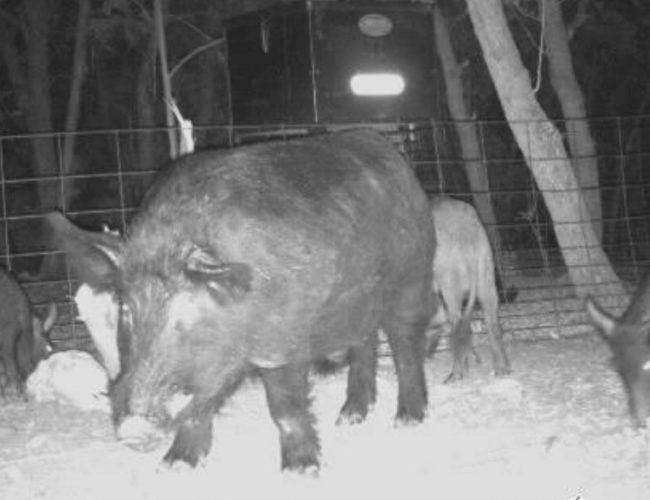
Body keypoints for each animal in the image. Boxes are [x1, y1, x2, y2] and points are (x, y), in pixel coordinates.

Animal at [47, 129, 436, 472]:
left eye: (189, 315)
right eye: (125, 309)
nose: (135, 430)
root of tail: (390, 152)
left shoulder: (283, 339)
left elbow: (284, 407)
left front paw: (301, 472)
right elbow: (199, 408)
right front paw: (175, 467)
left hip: (412, 276)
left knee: (405, 346)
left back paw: (408, 420)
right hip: (357, 304)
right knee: (364, 343)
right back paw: (350, 417)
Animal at [428, 196, 511, 382]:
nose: (427, 355)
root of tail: (466, 229)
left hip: (450, 273)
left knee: (457, 320)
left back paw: (456, 373)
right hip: (486, 265)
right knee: (491, 318)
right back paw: (501, 369)